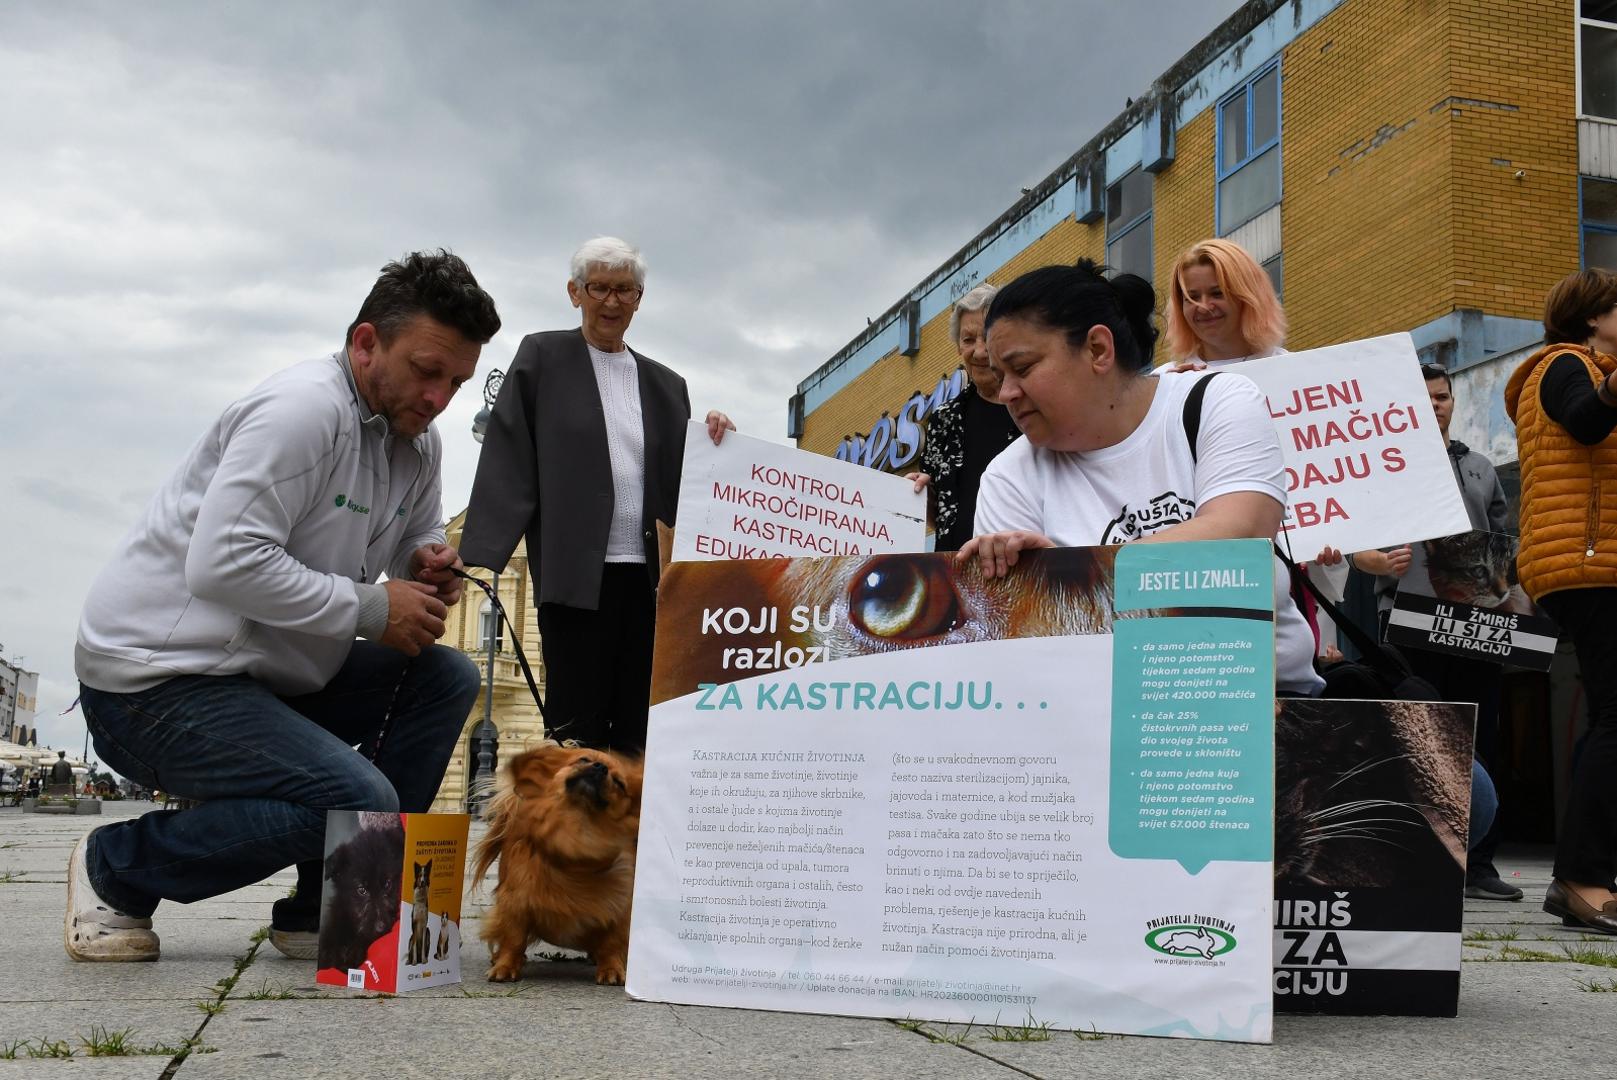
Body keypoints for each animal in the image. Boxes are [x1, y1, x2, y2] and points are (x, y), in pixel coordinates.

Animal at [472, 746, 640, 982]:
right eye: (584, 759)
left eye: (619, 782)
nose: (601, 767)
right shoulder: (515, 901)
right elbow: (514, 938)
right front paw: (505, 965)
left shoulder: (621, 907)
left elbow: (612, 942)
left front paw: (612, 969)